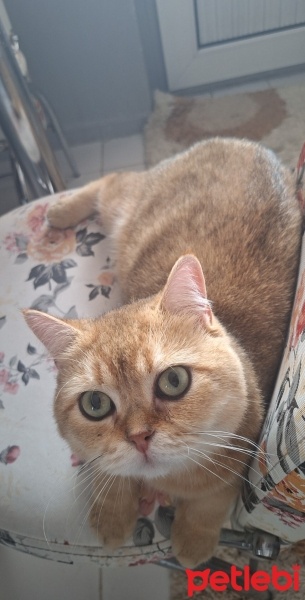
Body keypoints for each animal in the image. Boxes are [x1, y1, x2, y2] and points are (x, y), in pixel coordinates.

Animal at [24, 138, 302, 564]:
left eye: (173, 381)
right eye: (95, 404)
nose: (139, 438)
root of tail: (239, 142)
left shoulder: (243, 447)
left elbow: (212, 499)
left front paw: (192, 539)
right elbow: (107, 468)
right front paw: (112, 514)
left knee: (115, 179)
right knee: (112, 180)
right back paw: (61, 209)